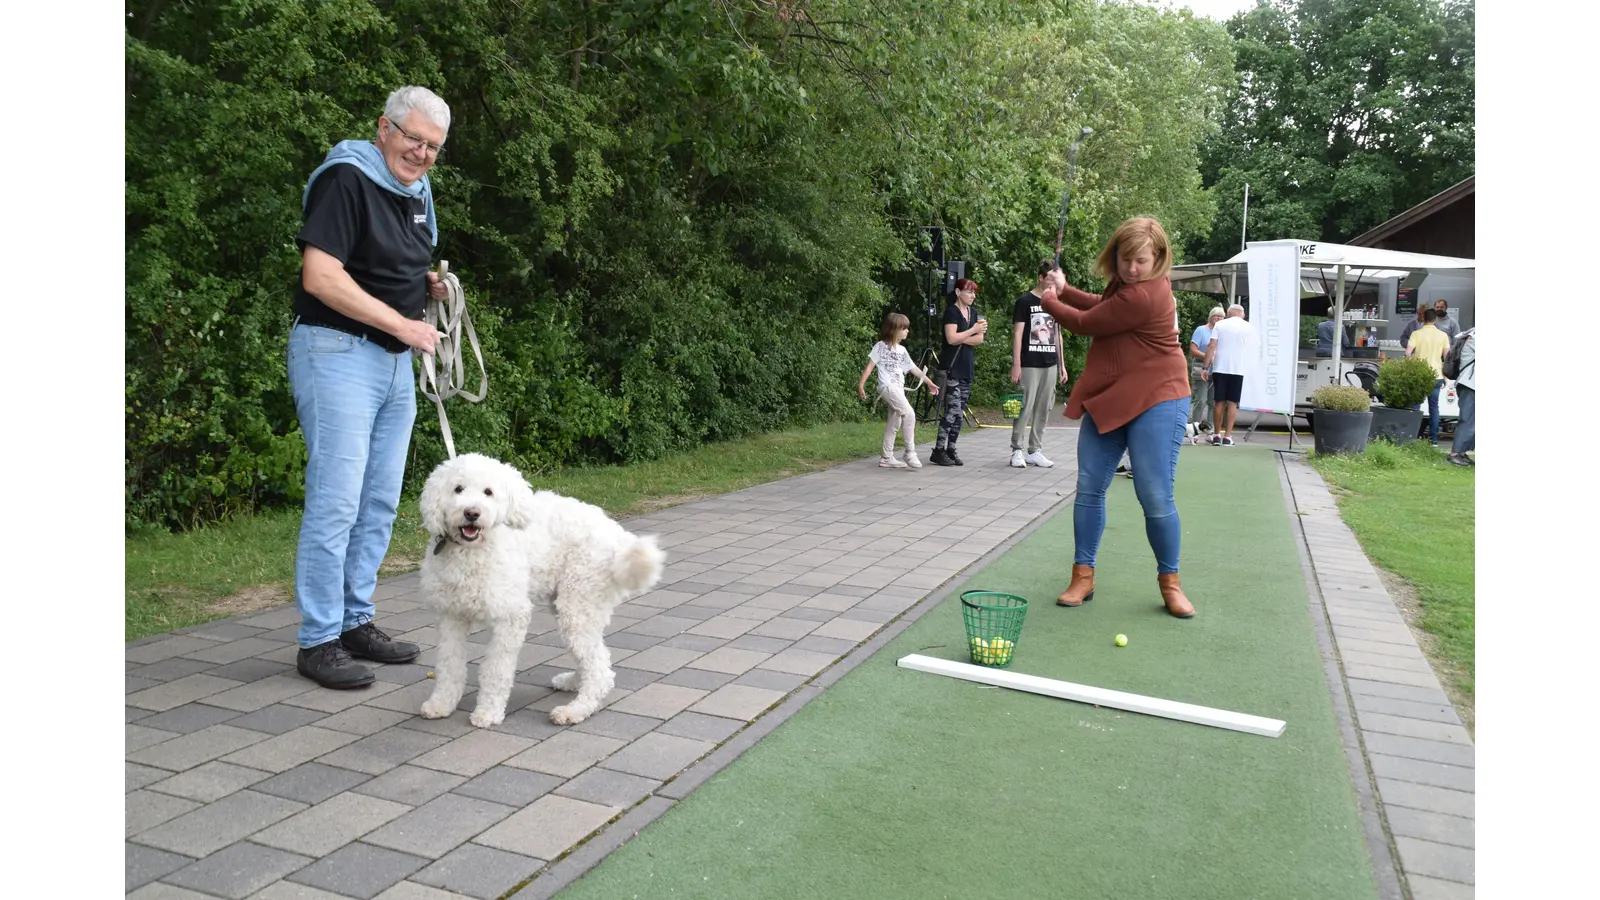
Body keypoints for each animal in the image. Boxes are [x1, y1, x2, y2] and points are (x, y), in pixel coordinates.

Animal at [416, 451, 665, 723]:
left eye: (488, 492)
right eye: (458, 489)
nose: (472, 513)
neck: (471, 551)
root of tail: (618, 536)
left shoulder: (511, 617)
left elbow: (496, 670)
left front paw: (488, 712)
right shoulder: (450, 618)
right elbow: (449, 665)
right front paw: (441, 704)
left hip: (577, 604)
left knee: (600, 669)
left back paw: (574, 710)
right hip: (572, 606)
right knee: (590, 655)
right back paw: (571, 682)